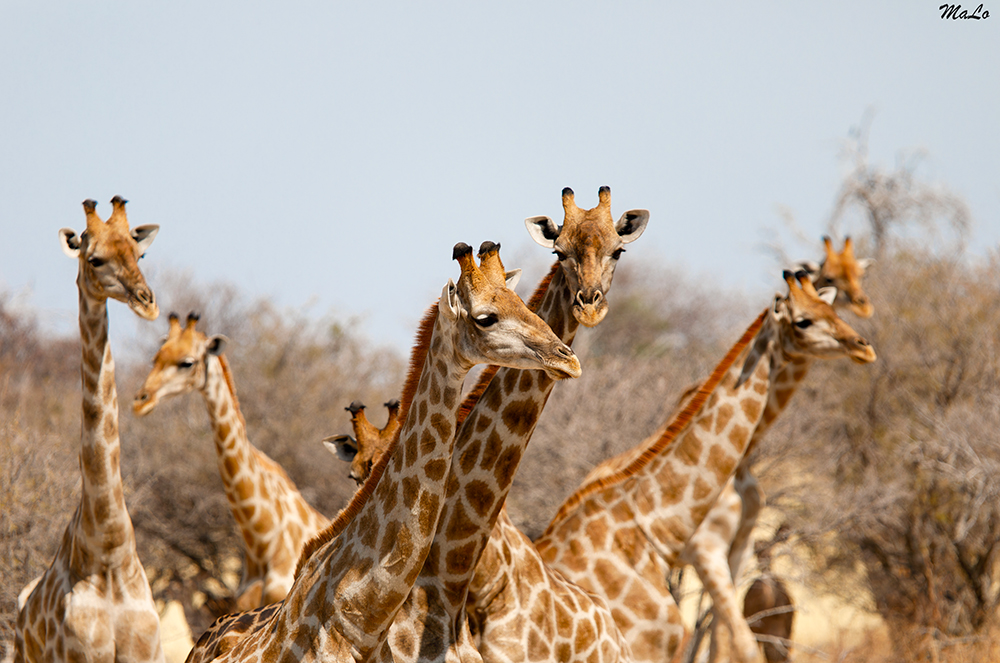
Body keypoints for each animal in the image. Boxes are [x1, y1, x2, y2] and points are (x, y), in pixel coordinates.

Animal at [16, 197, 165, 663]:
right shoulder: (79, 654)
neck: (109, 548)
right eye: (94, 259)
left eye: (139, 254)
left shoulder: (147, 653)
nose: (147, 303)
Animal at [533, 269, 877, 663]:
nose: (863, 346)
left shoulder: (738, 547)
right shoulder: (705, 549)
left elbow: (722, 642)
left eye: (832, 310)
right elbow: (740, 643)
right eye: (804, 321)